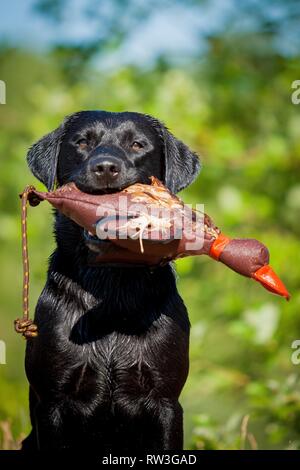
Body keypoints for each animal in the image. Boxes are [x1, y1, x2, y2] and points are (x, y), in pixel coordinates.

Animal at [22, 111, 200, 452]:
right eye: (82, 142)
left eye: (137, 144)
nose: (105, 167)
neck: (111, 287)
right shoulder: (52, 402)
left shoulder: (166, 401)